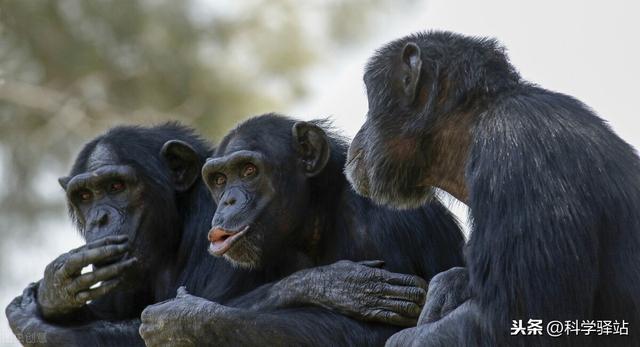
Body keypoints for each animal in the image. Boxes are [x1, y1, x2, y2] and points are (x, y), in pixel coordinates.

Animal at [139, 113, 464, 346]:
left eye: (248, 171)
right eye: (219, 179)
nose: (229, 200)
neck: (314, 216)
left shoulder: (389, 225)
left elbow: (381, 333)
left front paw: (183, 321)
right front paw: (333, 284)